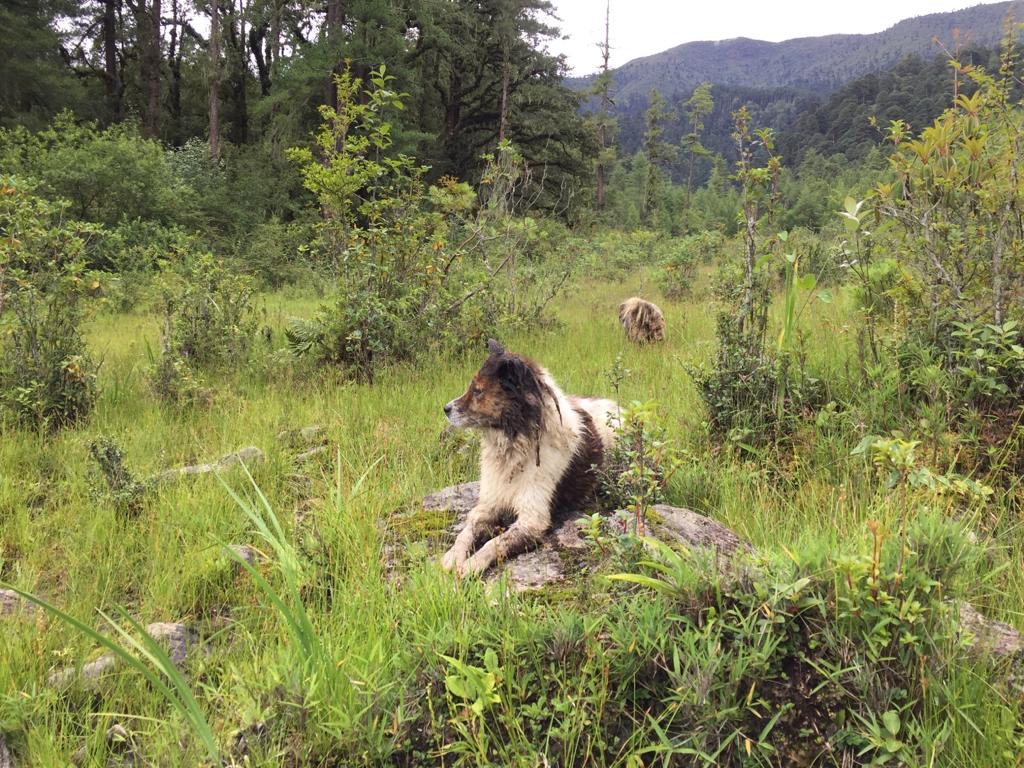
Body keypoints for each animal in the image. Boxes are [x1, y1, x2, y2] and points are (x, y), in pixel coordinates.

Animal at [441, 339, 618, 576]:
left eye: (478, 391)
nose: (445, 408)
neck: (514, 447)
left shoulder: (532, 519)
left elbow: (495, 543)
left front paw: (470, 566)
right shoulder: (487, 504)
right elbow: (466, 532)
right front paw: (453, 557)